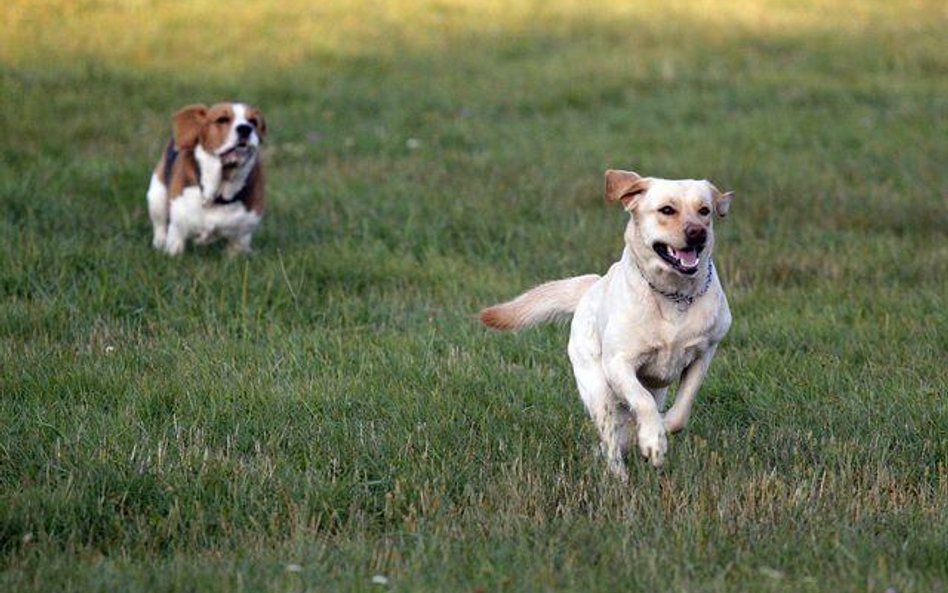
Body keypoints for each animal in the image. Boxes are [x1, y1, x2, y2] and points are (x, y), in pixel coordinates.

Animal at [482, 170, 732, 476]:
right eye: (667, 210)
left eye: (704, 211)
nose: (698, 232)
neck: (674, 295)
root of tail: (592, 285)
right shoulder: (618, 364)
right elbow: (642, 402)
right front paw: (653, 441)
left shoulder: (703, 354)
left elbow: (681, 408)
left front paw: (658, 432)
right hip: (598, 390)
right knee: (612, 441)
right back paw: (619, 476)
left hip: (654, 388)